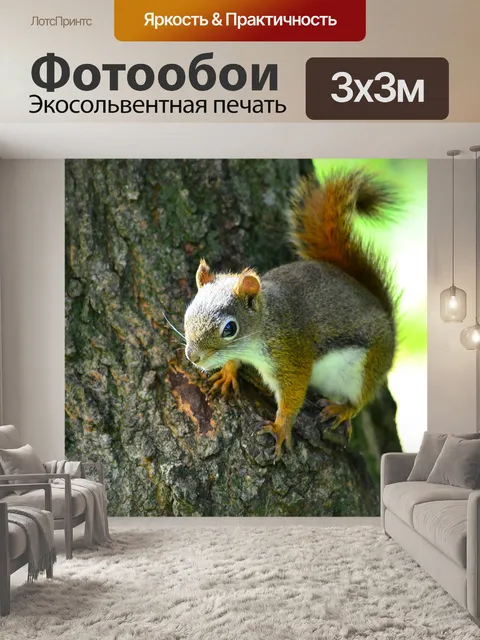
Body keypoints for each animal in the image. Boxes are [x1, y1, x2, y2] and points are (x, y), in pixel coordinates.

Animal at [183, 170, 398, 460]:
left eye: (229, 329)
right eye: (188, 313)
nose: (193, 357)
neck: (265, 323)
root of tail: (385, 316)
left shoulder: (291, 354)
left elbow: (293, 395)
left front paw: (280, 427)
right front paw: (227, 374)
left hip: (369, 364)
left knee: (361, 398)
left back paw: (342, 409)